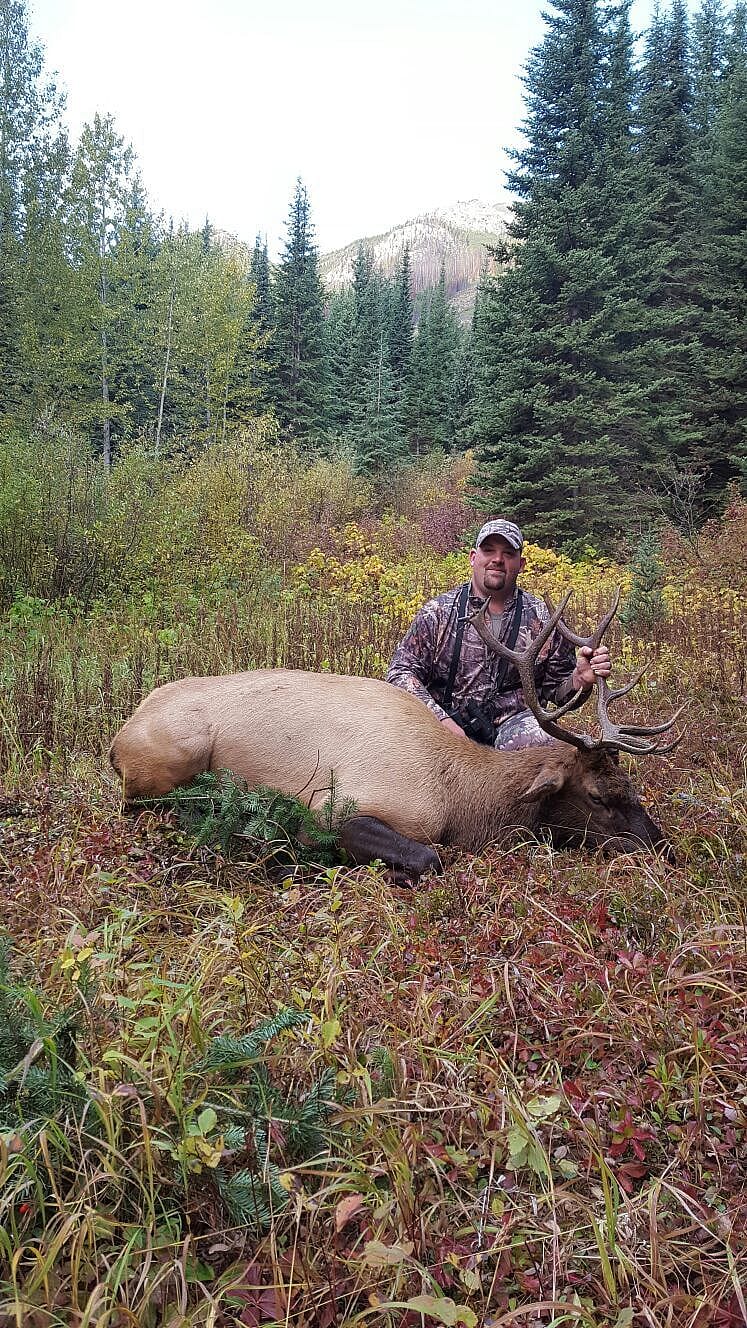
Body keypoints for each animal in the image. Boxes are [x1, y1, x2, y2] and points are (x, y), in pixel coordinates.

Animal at [109, 591, 682, 880]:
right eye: (598, 796)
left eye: (631, 786)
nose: (664, 849)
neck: (462, 800)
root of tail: (118, 740)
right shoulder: (333, 809)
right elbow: (430, 858)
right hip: (175, 753)